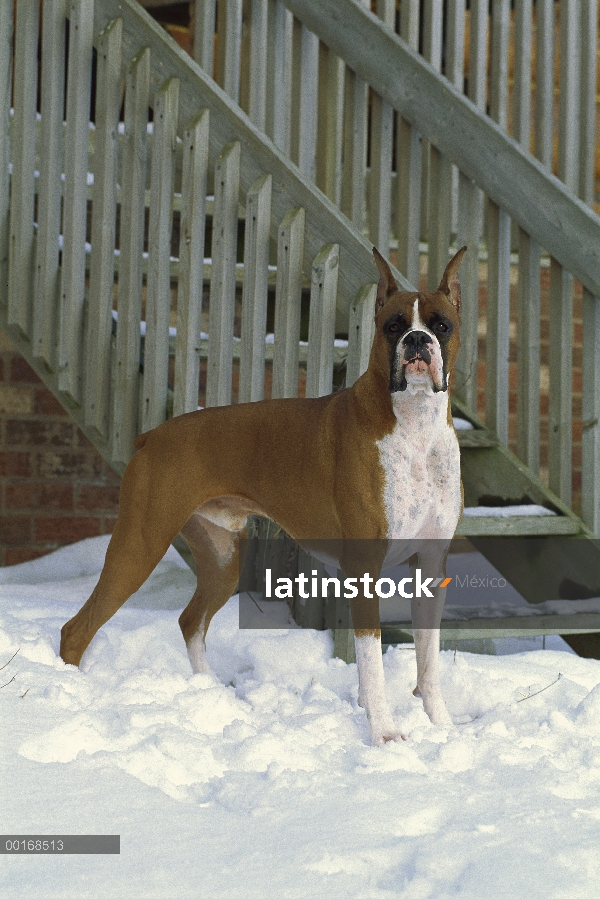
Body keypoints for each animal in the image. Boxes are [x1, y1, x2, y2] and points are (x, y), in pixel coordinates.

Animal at [61, 246, 466, 744]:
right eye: (393, 325)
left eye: (441, 325)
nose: (416, 341)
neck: (415, 427)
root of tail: (152, 435)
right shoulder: (364, 568)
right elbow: (371, 662)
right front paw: (386, 735)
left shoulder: (431, 564)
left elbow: (428, 661)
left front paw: (442, 727)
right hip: (139, 545)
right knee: (77, 630)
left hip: (221, 560)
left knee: (190, 621)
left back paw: (209, 694)